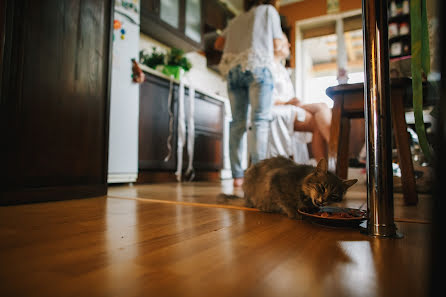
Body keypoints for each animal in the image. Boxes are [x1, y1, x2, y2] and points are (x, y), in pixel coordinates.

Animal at [225, 156, 358, 219]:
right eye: (322, 187)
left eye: (334, 196)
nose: (324, 201)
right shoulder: (274, 179)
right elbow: (285, 202)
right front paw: (294, 212)